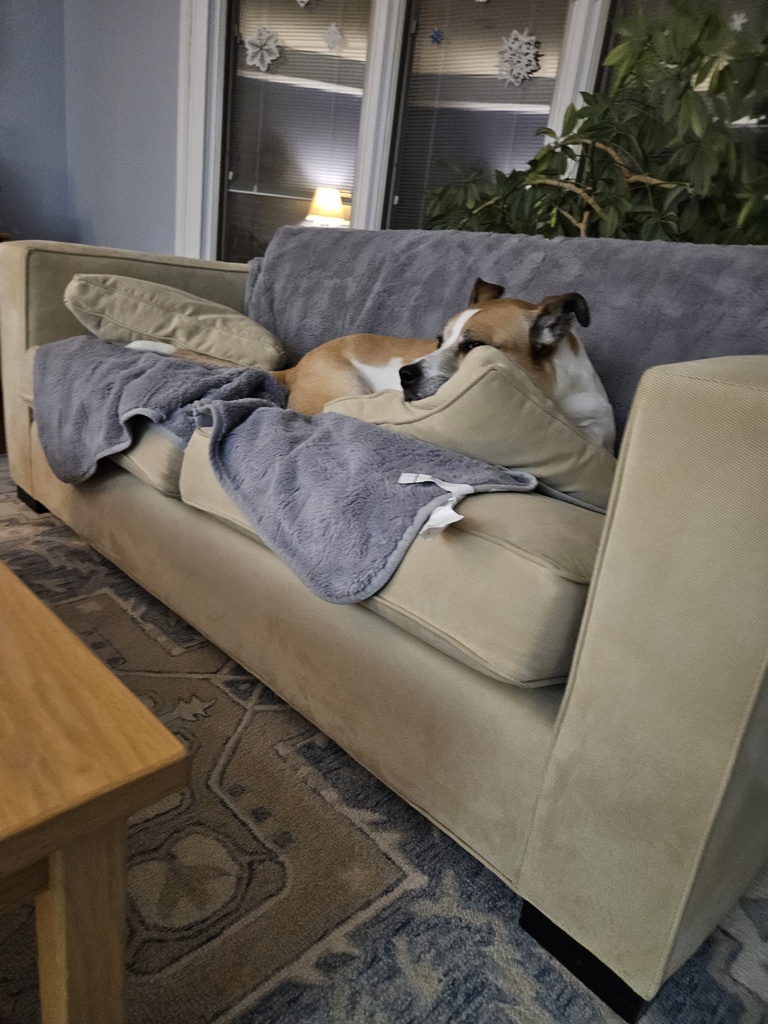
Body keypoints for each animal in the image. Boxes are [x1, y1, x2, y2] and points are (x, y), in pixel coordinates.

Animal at [129, 278, 615, 450]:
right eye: (439, 339)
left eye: (474, 346)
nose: (405, 374)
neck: (559, 397)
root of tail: (301, 364)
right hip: (346, 388)